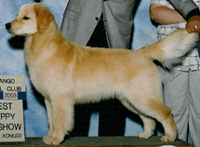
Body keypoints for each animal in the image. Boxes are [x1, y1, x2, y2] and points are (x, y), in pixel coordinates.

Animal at [5, 2, 199, 145]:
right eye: (16, 15)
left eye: (26, 17)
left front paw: (56, 139)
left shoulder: (60, 98)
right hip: (131, 99)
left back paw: (170, 137)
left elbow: (59, 121)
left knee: (165, 113)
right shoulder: (48, 99)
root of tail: (142, 52)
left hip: (143, 96)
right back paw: (146, 134)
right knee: (148, 119)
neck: (43, 44)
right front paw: (49, 136)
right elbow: (51, 120)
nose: (7, 25)